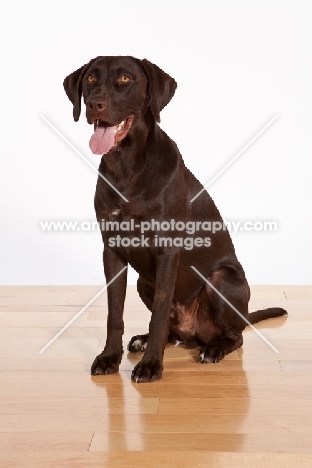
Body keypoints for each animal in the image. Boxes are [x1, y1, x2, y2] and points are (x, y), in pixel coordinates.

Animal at [64, 56, 288, 382]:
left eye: (125, 79)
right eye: (91, 78)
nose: (95, 104)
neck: (127, 165)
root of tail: (194, 334)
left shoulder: (167, 252)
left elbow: (158, 314)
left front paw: (151, 366)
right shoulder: (112, 251)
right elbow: (114, 313)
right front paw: (109, 357)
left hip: (221, 280)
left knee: (235, 335)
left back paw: (213, 349)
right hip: (144, 282)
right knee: (172, 330)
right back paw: (145, 340)